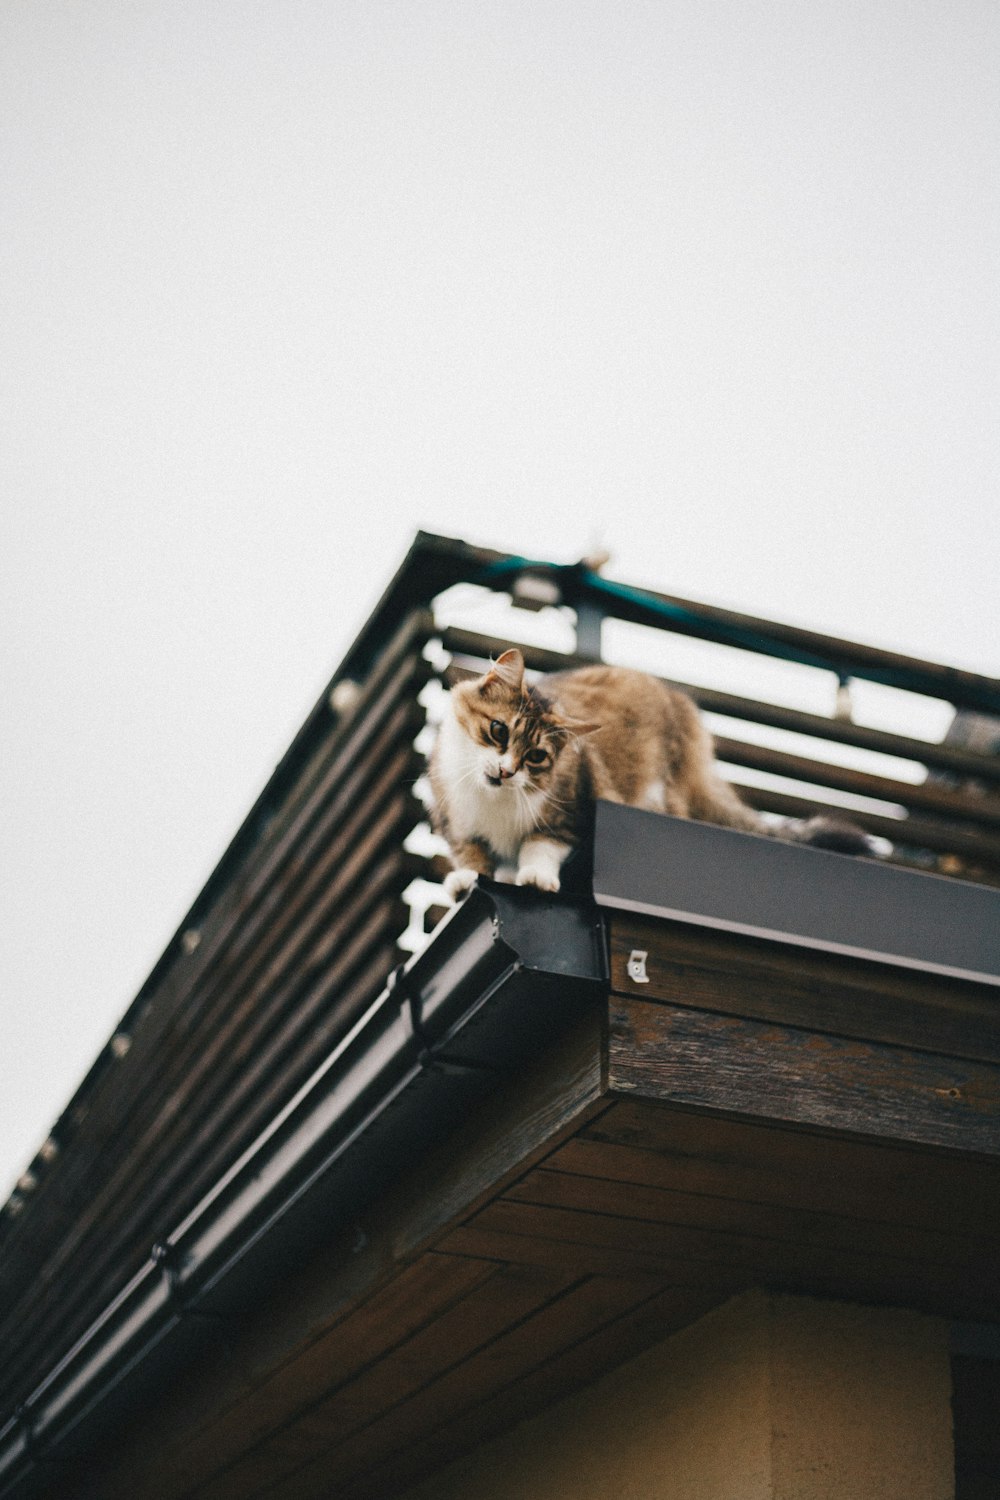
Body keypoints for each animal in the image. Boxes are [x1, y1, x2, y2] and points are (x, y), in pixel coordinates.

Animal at [431, 642, 875, 894]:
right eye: (498, 730)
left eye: (536, 757)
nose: (505, 772)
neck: (492, 800)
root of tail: (679, 701)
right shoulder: (454, 821)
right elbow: (471, 855)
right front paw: (466, 881)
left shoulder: (572, 810)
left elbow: (540, 845)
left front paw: (536, 878)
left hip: (663, 793)